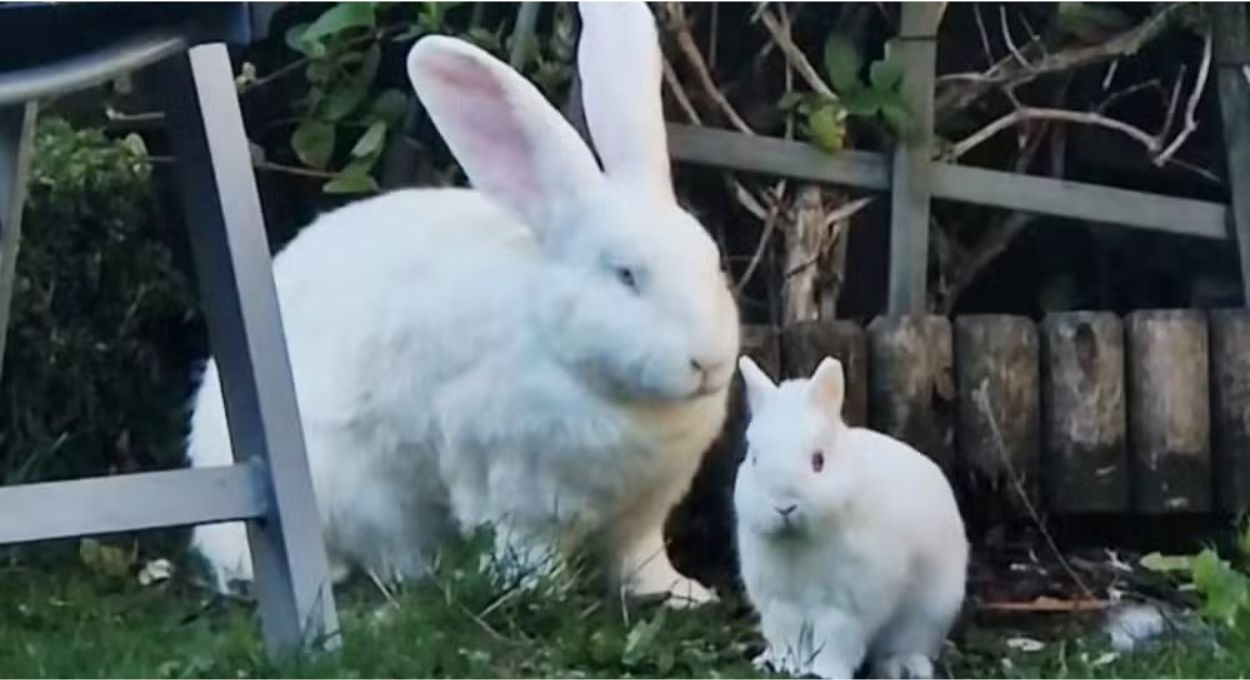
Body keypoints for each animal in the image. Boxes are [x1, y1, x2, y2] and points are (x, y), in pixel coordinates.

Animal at [186, 0, 739, 606]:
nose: (709, 362)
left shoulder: (642, 514)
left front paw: (686, 595)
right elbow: (527, 553)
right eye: (626, 276)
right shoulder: (515, 489)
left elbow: (641, 561)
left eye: (714, 262)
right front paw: (538, 594)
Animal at [733, 356, 967, 679]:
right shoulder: (781, 604)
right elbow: (788, 637)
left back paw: (904, 667)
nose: (784, 507)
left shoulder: (844, 608)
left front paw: (825, 672)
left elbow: (835, 643)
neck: (799, 541)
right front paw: (786, 666)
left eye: (818, 461)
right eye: (754, 459)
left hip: (928, 615)